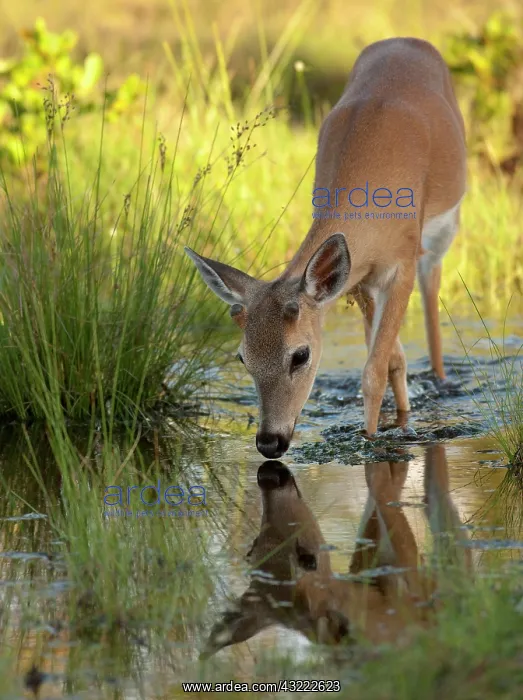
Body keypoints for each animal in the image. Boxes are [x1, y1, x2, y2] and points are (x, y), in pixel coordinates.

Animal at [186, 37, 466, 458]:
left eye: (300, 355)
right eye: (242, 357)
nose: (269, 441)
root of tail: (405, 40)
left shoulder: (400, 264)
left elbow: (373, 370)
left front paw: (370, 439)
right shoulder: (359, 277)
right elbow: (391, 360)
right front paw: (396, 425)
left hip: (443, 230)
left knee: (432, 295)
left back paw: (441, 380)